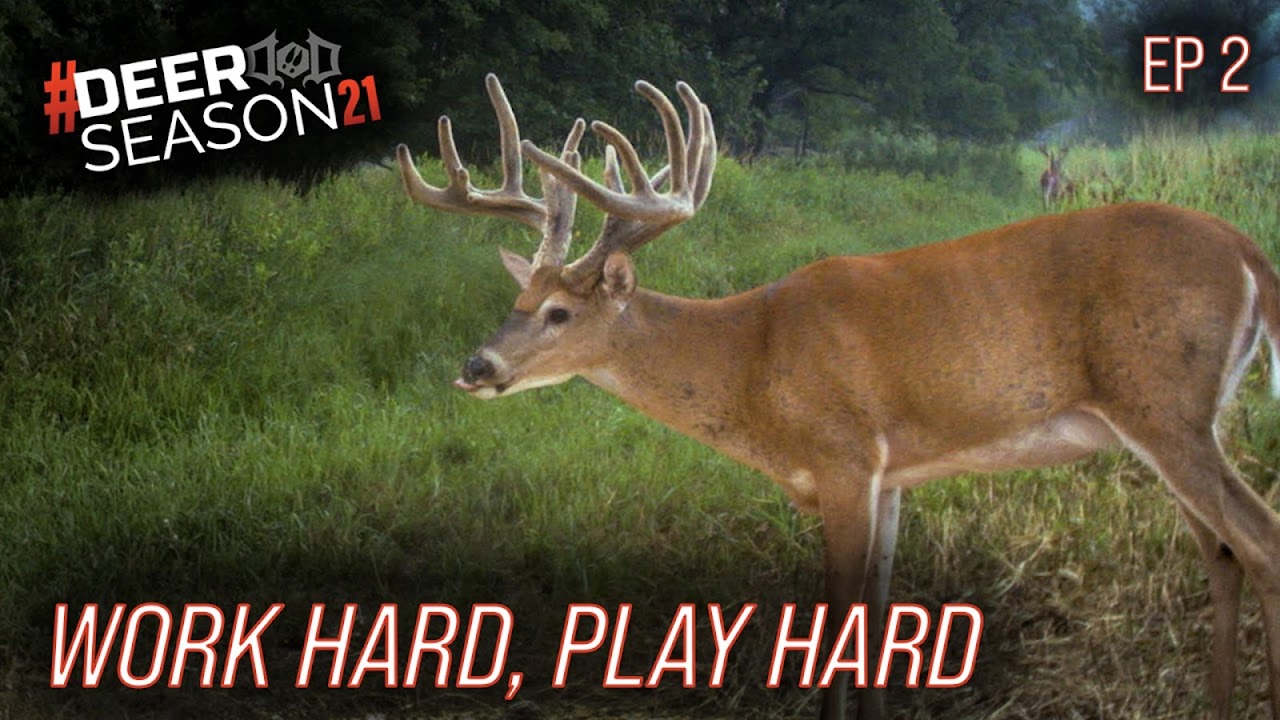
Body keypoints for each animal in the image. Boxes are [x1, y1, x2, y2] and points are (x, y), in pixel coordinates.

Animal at [396, 75, 1280, 720]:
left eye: (558, 312)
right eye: (516, 299)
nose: (475, 364)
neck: (750, 360)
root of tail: (1248, 252)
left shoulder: (844, 458)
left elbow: (839, 625)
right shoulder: (891, 477)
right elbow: (881, 620)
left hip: (1164, 405)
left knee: (1259, 539)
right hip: (1175, 419)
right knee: (1224, 552)